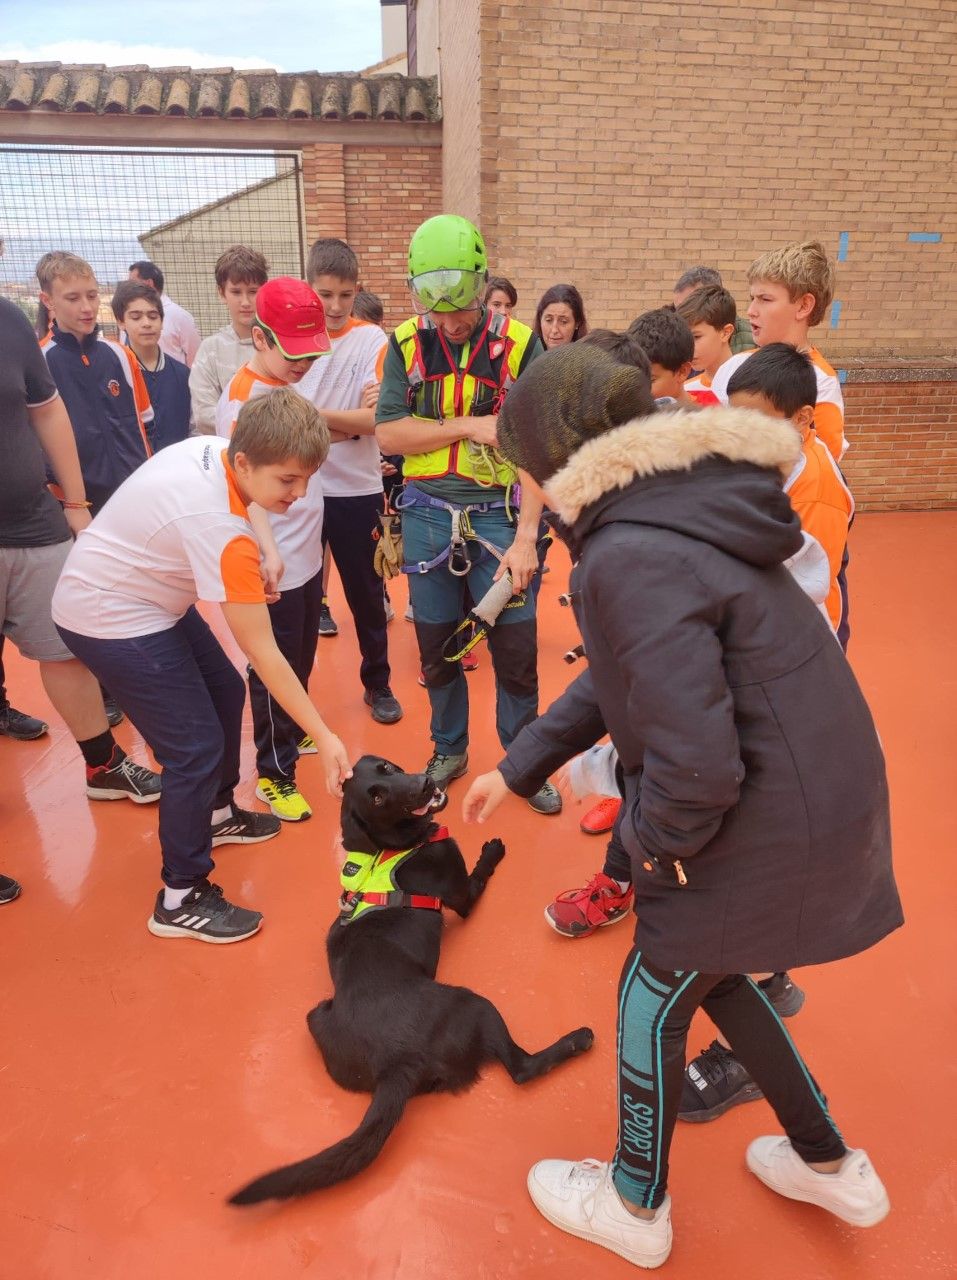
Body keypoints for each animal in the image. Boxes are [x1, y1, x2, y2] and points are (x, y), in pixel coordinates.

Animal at [230, 752, 591, 1203]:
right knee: (522, 1067)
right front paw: (491, 849)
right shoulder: (462, 893)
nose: (424, 784)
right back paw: (577, 1040)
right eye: (378, 797)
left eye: (387, 769)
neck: (390, 848)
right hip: (476, 1003)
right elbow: (479, 873)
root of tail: (395, 1064)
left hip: (315, 1015)